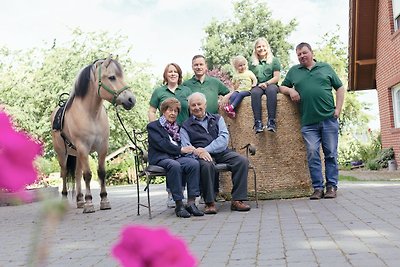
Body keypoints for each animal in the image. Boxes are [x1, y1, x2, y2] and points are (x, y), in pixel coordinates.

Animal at [50, 55, 136, 215]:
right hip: (62, 154)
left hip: (76, 154)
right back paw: (65, 201)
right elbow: (88, 175)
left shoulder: (102, 148)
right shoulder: (84, 148)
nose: (131, 100)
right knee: (64, 174)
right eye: (112, 77)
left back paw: (80, 200)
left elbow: (101, 173)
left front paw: (104, 200)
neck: (91, 115)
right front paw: (89, 203)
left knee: (77, 174)